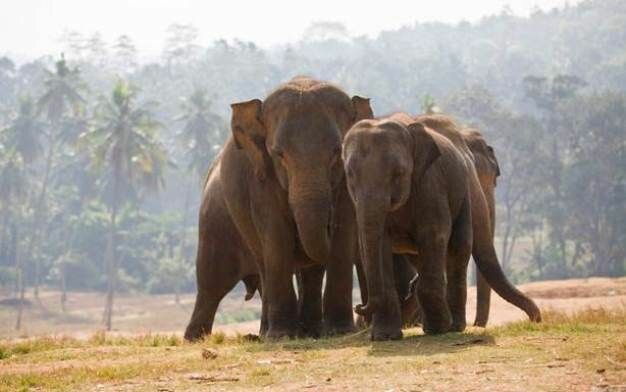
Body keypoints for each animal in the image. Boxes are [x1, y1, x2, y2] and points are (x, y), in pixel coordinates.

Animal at [183, 76, 372, 340]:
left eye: (337, 151)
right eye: (279, 154)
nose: (360, 307)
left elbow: (342, 236)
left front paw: (338, 331)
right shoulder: (261, 179)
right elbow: (276, 236)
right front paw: (283, 336)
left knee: (303, 272)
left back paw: (306, 331)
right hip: (213, 224)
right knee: (214, 281)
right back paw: (198, 338)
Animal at [338, 112, 540, 340]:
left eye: (399, 173)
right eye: (350, 174)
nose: (358, 307)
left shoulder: (432, 185)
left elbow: (434, 235)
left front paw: (437, 329)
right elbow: (379, 244)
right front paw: (385, 337)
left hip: (461, 196)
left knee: (459, 246)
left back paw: (452, 326)